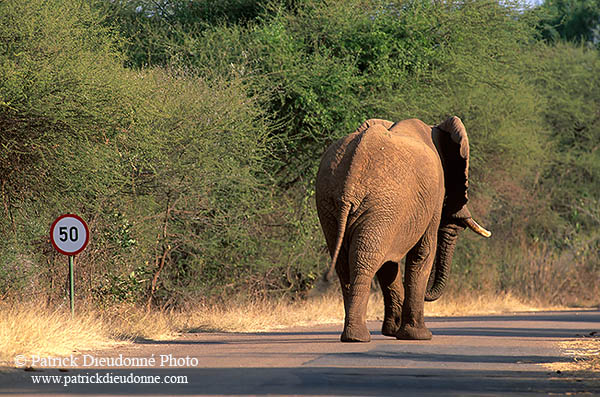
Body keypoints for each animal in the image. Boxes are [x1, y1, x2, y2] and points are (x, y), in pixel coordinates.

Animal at [316, 116, 490, 342]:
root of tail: (352, 177)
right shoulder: (433, 196)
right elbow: (423, 252)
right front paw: (419, 336)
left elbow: (389, 264)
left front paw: (394, 332)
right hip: (382, 203)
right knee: (365, 258)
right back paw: (358, 337)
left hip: (332, 201)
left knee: (346, 262)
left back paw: (352, 336)